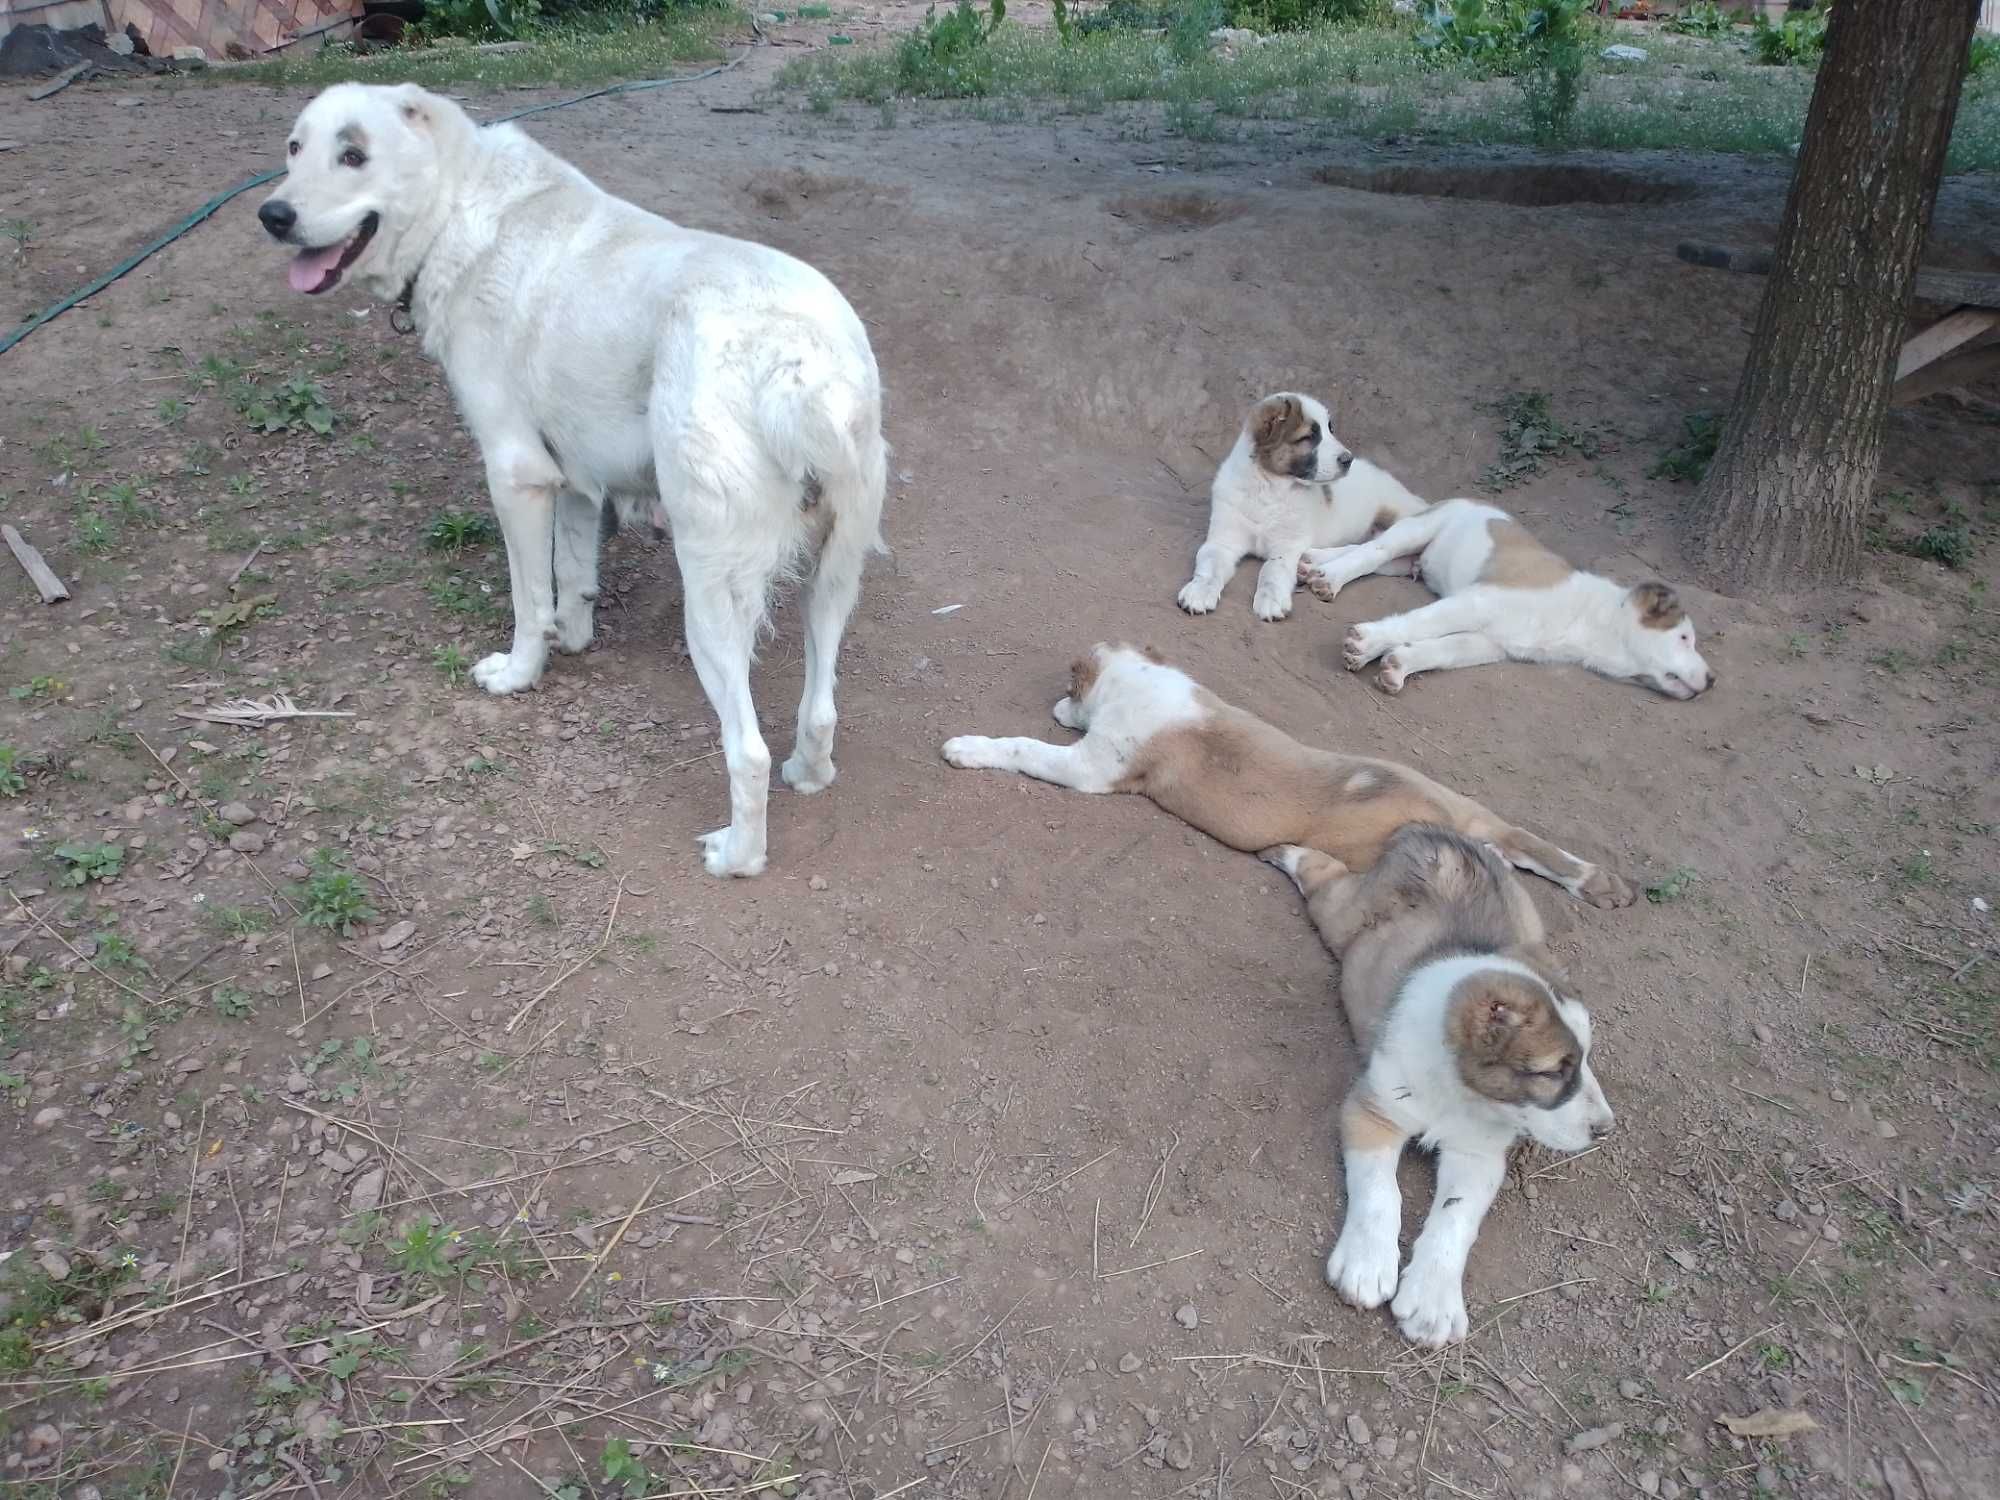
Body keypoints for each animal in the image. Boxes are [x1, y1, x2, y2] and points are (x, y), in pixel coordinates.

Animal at [262, 82, 888, 880]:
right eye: (293, 148)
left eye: (354, 155)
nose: (272, 215)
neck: (458, 207)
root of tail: (798, 361)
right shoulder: (577, 480)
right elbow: (575, 574)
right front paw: (578, 636)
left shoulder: (517, 476)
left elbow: (530, 599)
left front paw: (521, 671)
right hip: (835, 576)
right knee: (820, 708)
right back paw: (809, 774)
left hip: (712, 596)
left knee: (746, 752)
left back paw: (735, 856)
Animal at [940, 644, 1640, 912]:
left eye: (1068, 689)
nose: (1062, 704)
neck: (1140, 679)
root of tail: (1446, 817)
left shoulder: (1092, 766)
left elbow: (1024, 747)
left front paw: (968, 746)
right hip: (1473, 807)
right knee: (1526, 844)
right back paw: (1597, 883)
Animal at [1176, 396, 1432, 624]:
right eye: (1309, 437)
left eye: (1330, 429)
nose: (1348, 459)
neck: (1268, 489)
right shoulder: (1223, 540)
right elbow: (1209, 564)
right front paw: (1199, 591)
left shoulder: (1287, 546)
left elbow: (1272, 569)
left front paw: (1271, 599)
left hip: (1400, 515)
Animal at [1272, 828, 1616, 1360]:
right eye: (1550, 1071)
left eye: (1584, 1060)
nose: (1605, 1129)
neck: (1461, 1092)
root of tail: (1436, 835)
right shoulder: (1372, 1111)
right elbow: (1380, 1190)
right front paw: (1367, 1264)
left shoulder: (1478, 1154)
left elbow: (1456, 1218)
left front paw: (1432, 1302)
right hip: (1343, 918)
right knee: (1327, 877)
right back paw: (1289, 853)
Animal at [1296, 500, 1720, 700]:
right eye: (1684, 638)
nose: (1714, 680)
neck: (1590, 621)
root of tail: (1468, 500)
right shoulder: (1476, 601)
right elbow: (1418, 623)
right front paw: (1367, 645)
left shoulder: (1489, 643)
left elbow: (1442, 650)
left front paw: (1398, 666)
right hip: (1416, 531)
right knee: (1373, 551)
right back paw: (1330, 578)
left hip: (1404, 562)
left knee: (1365, 550)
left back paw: (1313, 562)